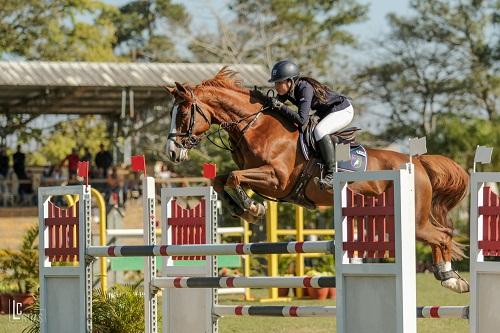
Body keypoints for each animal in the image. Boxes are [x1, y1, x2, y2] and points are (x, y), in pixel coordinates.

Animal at [164, 67, 468, 294]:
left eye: (183, 114)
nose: (172, 152)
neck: (257, 126)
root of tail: (417, 162)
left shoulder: (276, 179)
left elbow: (234, 177)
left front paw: (252, 208)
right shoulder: (258, 175)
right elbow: (221, 180)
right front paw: (246, 209)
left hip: (414, 221)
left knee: (441, 236)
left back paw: (451, 278)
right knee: (441, 236)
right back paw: (449, 276)